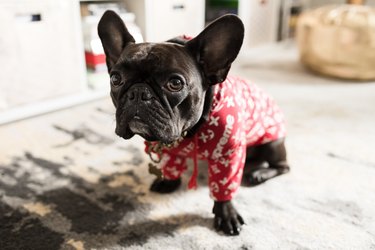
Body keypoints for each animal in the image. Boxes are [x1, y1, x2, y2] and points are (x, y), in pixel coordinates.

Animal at [97, 10, 290, 235]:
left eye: (175, 83)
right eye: (115, 79)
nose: (138, 93)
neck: (189, 131)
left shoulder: (228, 155)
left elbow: (225, 186)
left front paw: (226, 213)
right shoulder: (170, 152)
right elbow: (171, 167)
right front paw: (168, 182)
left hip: (273, 143)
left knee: (283, 167)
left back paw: (260, 173)